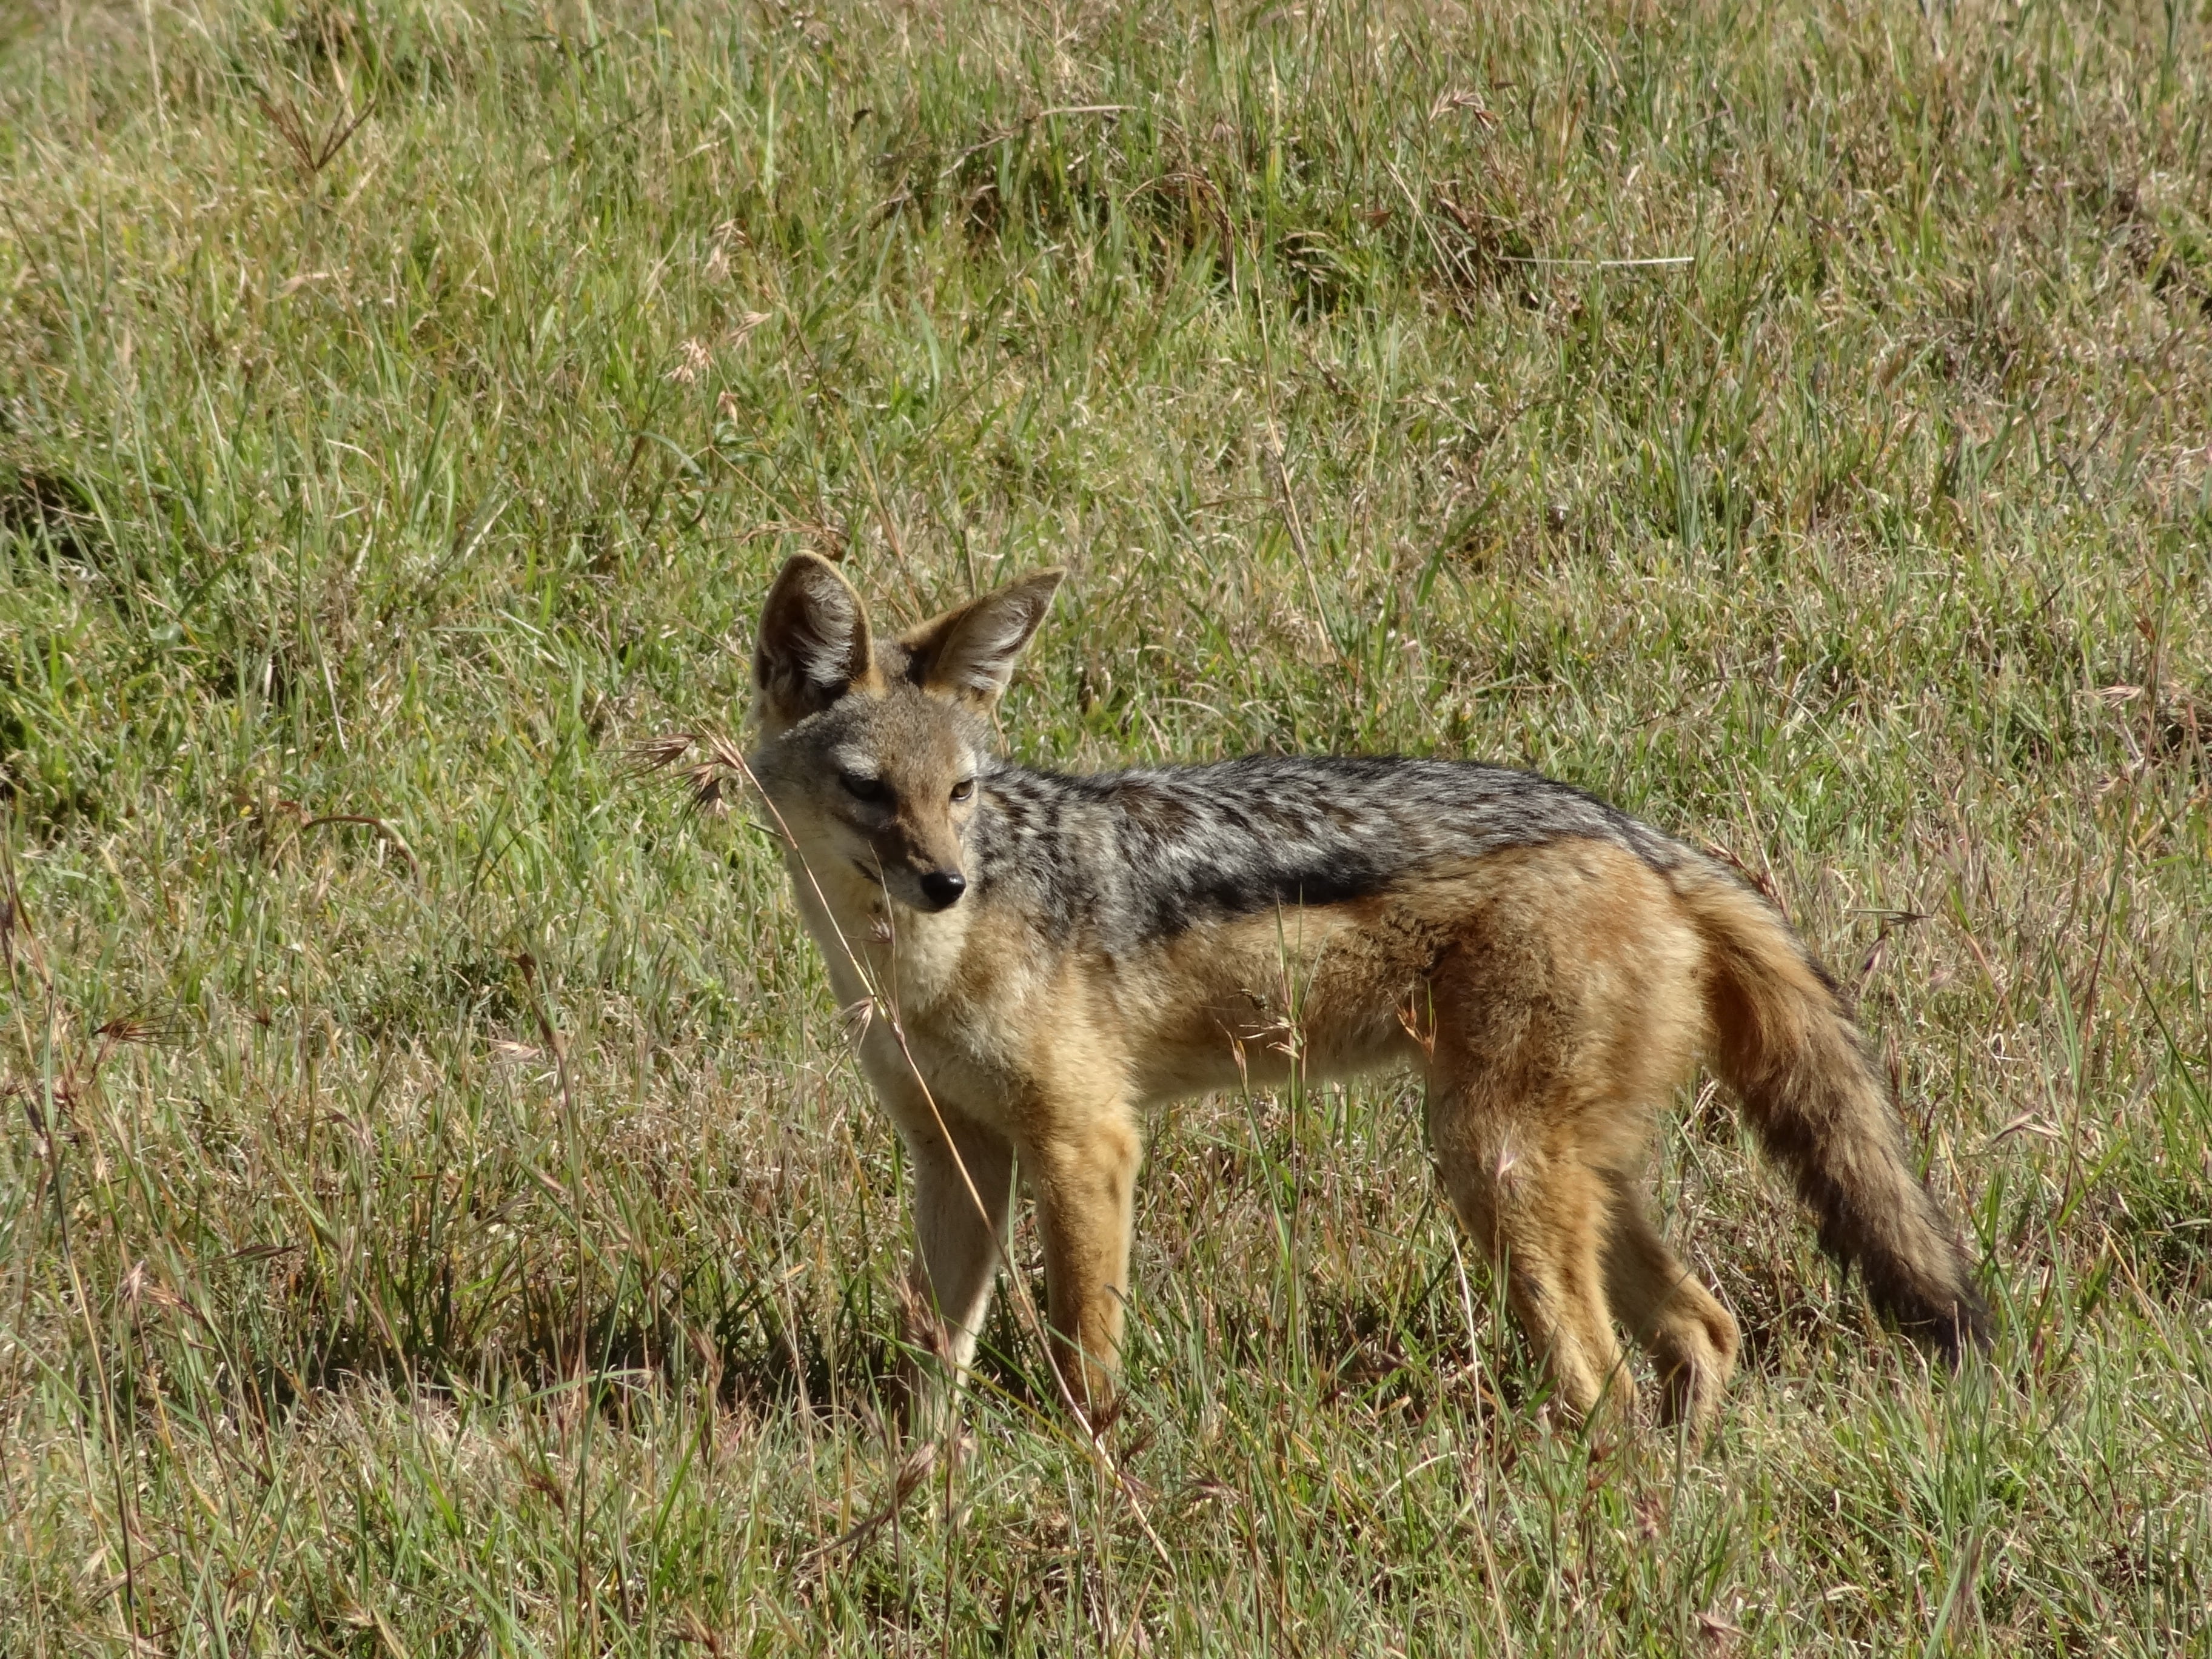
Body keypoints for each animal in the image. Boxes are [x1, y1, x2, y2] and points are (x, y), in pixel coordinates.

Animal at [740, 552, 1991, 1440]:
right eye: (871, 792)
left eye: (961, 791)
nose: (944, 882)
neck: (909, 972)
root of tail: (1639, 832)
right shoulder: (957, 1155)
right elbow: (934, 1347)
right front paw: (916, 1474)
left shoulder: (1086, 1142)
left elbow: (1082, 1351)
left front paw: (1089, 1466)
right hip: (1552, 1177)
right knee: (1706, 1328)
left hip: (1487, 1166)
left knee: (1610, 1384)